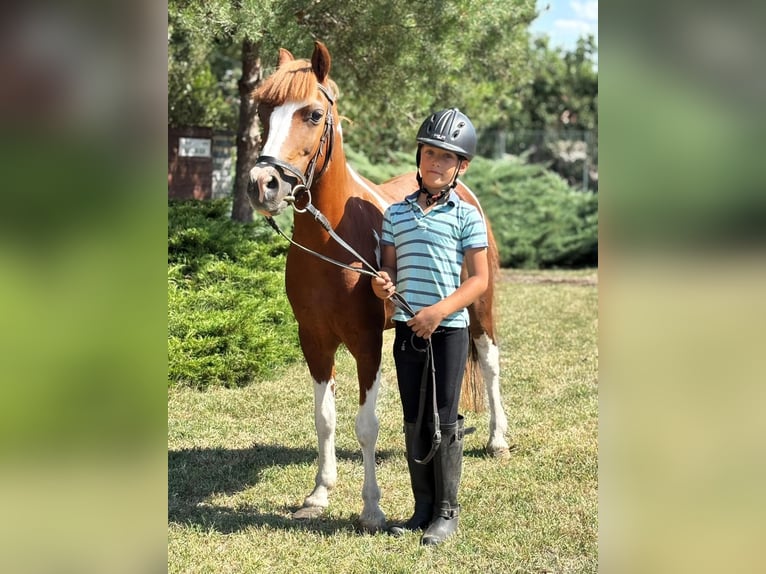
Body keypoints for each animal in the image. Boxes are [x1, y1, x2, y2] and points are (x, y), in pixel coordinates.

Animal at [246, 41, 510, 533]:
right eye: (263, 110)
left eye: (313, 114)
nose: (262, 185)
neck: (332, 242)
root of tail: (464, 192)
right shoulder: (314, 341)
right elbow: (325, 418)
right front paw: (319, 493)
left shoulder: (366, 344)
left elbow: (365, 424)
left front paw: (371, 508)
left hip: (480, 308)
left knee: (489, 364)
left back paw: (498, 439)